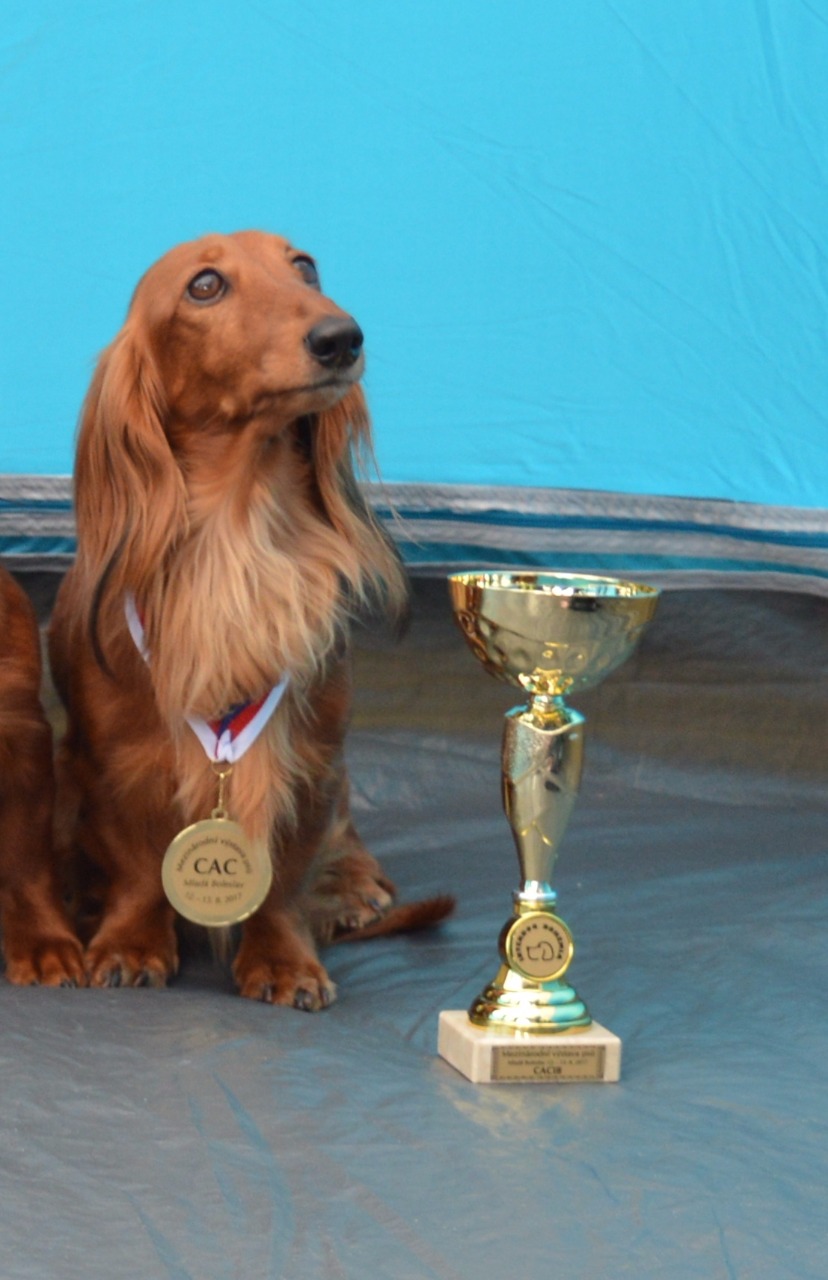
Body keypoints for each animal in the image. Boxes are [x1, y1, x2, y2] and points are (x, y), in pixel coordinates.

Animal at [49, 230, 451, 1008]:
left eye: (306, 267)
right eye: (205, 286)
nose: (341, 337)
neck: (234, 538)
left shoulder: (312, 758)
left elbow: (282, 877)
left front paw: (284, 960)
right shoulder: (111, 759)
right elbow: (138, 867)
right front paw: (131, 944)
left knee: (349, 837)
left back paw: (358, 887)